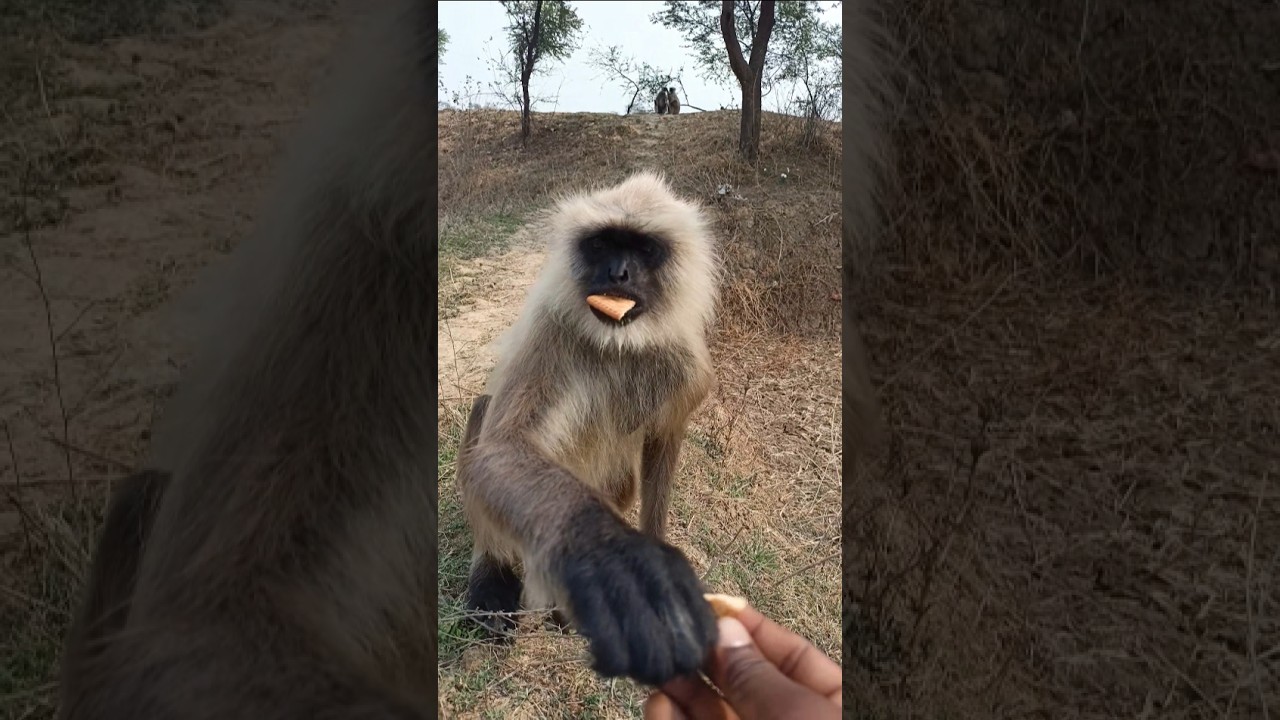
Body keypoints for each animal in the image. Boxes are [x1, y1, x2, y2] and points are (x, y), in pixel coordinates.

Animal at [454, 170, 722, 687]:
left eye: (642, 249)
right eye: (604, 244)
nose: (617, 273)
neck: (617, 342)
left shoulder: (684, 365)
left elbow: (662, 440)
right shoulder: (549, 328)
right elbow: (501, 447)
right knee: (483, 412)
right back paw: (493, 584)